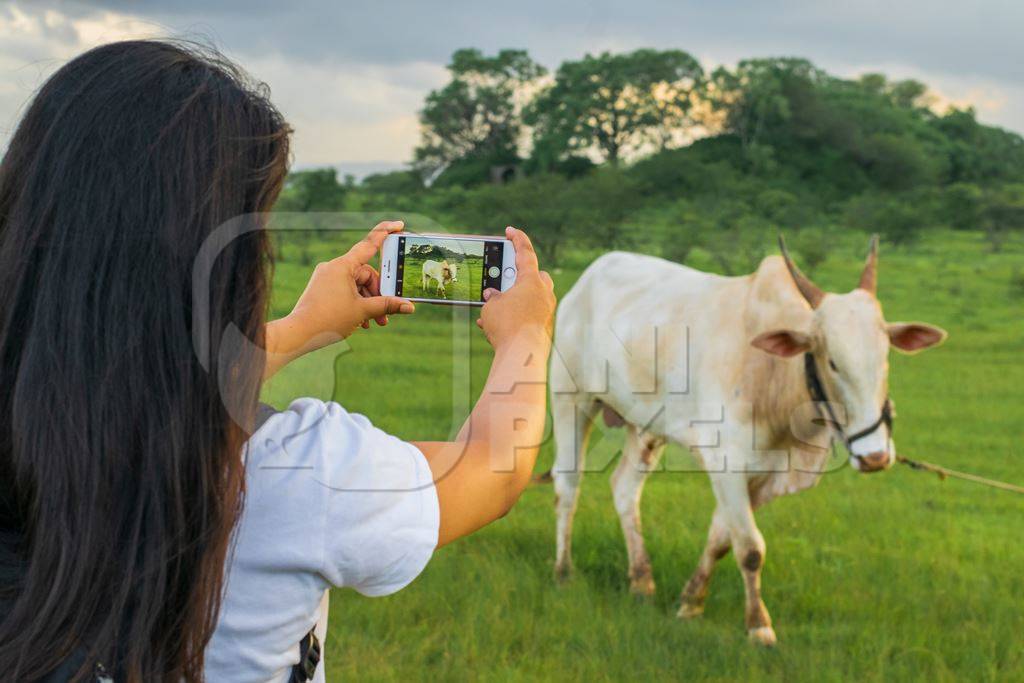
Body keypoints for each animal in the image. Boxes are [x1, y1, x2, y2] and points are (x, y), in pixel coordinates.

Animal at [552, 239, 942, 647]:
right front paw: (758, 626)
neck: (773, 374)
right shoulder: (726, 465)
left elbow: (721, 540)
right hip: (570, 397)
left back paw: (641, 581)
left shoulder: (763, 474)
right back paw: (564, 573)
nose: (875, 456)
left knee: (625, 488)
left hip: (645, 426)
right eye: (832, 361)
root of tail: (589, 275)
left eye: (885, 358)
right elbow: (751, 548)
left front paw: (690, 603)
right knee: (568, 485)